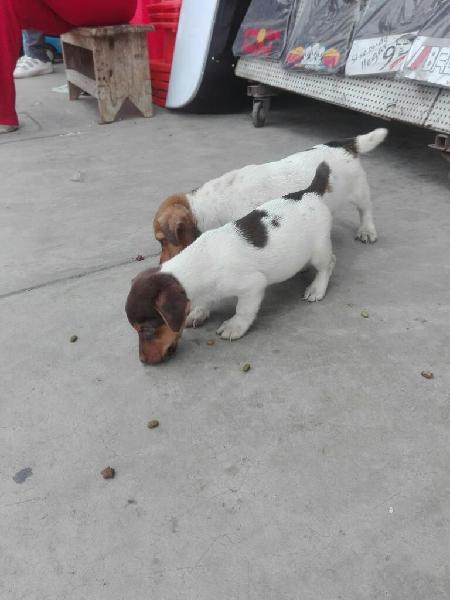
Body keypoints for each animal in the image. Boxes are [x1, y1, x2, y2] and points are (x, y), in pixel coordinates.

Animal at [126, 162, 334, 364]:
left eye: (147, 329)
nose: (143, 361)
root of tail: (311, 192)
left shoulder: (253, 286)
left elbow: (243, 310)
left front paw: (235, 326)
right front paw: (199, 311)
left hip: (319, 251)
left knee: (328, 264)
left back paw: (316, 288)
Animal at [153, 127, 388, 262]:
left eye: (162, 241)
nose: (161, 264)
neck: (205, 209)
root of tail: (343, 144)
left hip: (358, 191)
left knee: (366, 209)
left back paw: (367, 230)